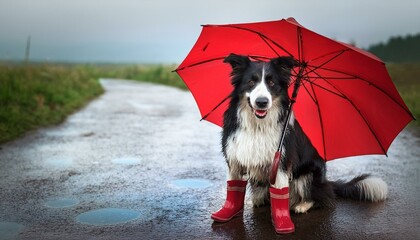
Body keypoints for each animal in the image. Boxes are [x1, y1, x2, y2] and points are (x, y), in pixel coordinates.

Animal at [213, 53, 388, 231]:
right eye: (251, 82)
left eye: (271, 83)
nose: (262, 102)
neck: (258, 125)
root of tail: (326, 182)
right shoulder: (235, 156)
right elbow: (233, 185)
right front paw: (227, 212)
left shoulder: (282, 162)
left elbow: (280, 190)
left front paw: (282, 222)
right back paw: (258, 200)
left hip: (309, 173)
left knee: (323, 197)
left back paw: (302, 205)